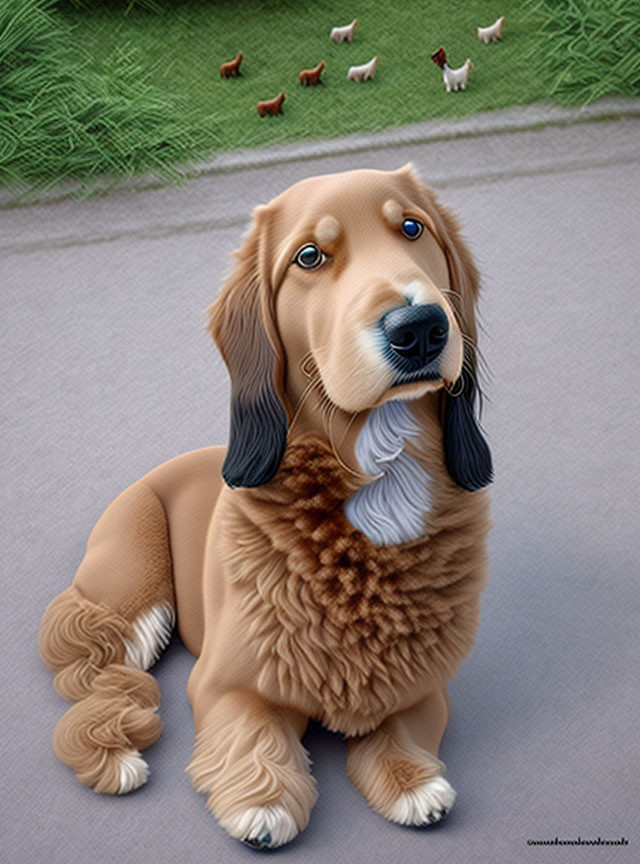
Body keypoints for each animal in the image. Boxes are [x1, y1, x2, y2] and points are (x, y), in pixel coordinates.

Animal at [38, 167, 490, 852]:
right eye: (310, 257)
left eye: (412, 227)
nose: (419, 328)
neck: (378, 473)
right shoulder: (223, 682)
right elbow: (253, 729)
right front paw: (263, 800)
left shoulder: (424, 684)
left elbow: (404, 724)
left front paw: (412, 781)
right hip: (131, 598)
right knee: (96, 668)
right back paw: (113, 752)